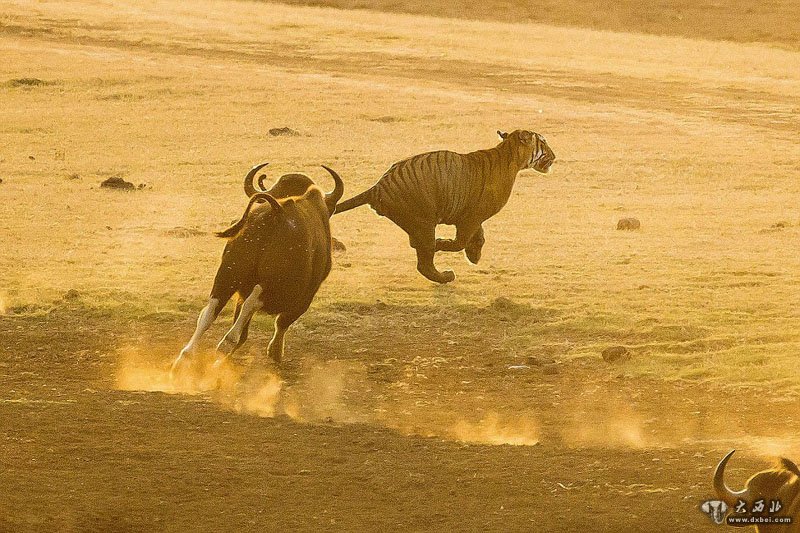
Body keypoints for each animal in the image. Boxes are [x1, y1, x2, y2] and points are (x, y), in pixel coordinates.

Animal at [334, 129, 552, 282]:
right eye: (543, 142)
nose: (554, 155)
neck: (510, 155)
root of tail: (378, 187)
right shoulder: (471, 217)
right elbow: (459, 242)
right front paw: (446, 245)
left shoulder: (474, 216)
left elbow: (479, 237)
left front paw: (474, 256)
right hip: (423, 221)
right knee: (424, 262)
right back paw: (445, 275)